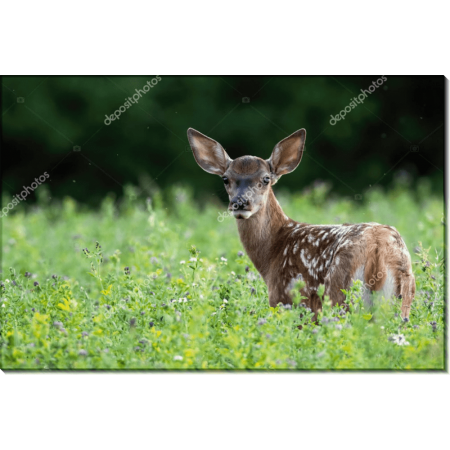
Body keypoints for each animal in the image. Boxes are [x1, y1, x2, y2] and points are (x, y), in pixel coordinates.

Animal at [186, 128, 414, 322]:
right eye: (225, 179)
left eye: (266, 179)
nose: (240, 202)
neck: (273, 251)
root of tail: (377, 248)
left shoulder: (287, 298)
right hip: (403, 297)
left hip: (338, 291)